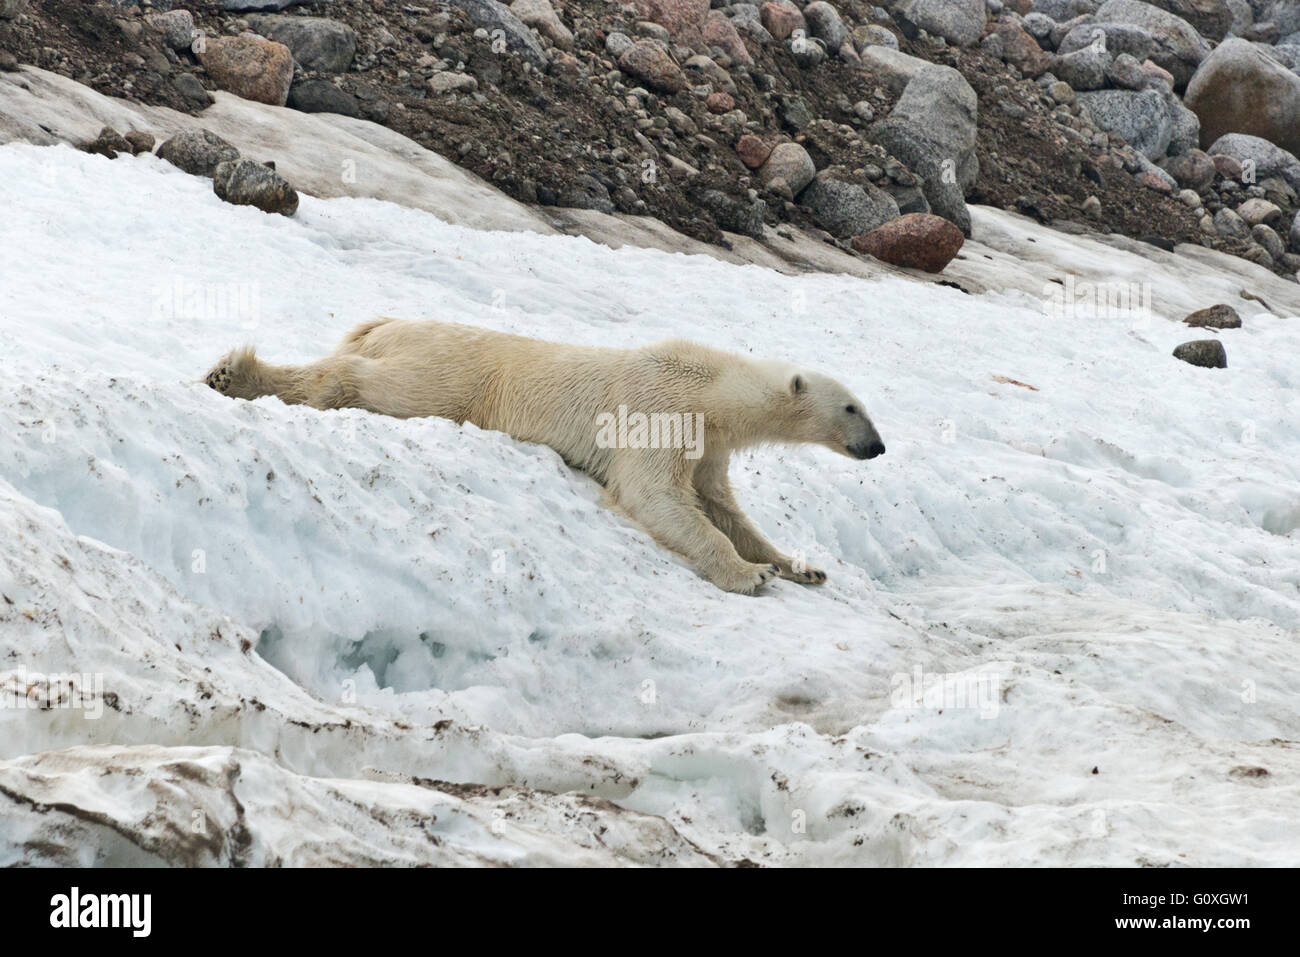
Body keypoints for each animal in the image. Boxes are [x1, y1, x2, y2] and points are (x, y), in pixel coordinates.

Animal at [202, 319, 889, 590]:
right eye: (853, 407)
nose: (878, 447)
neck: (711, 388)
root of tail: (383, 324)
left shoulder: (706, 446)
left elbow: (721, 506)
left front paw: (798, 565)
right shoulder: (659, 411)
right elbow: (657, 497)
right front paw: (750, 576)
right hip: (452, 372)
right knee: (373, 383)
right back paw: (234, 373)